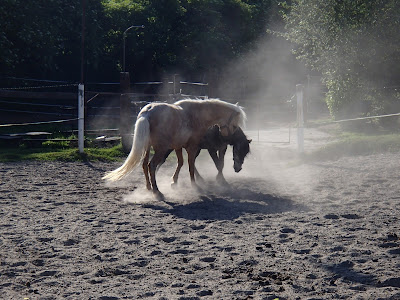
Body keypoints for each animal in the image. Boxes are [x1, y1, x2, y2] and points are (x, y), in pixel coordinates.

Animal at [102, 97, 247, 198]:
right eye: (235, 125)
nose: (226, 139)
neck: (197, 116)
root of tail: (147, 112)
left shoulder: (178, 147)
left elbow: (181, 163)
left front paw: (174, 182)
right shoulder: (192, 147)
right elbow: (190, 165)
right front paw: (195, 185)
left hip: (148, 148)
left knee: (144, 165)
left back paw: (149, 188)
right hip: (160, 150)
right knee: (151, 165)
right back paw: (157, 191)